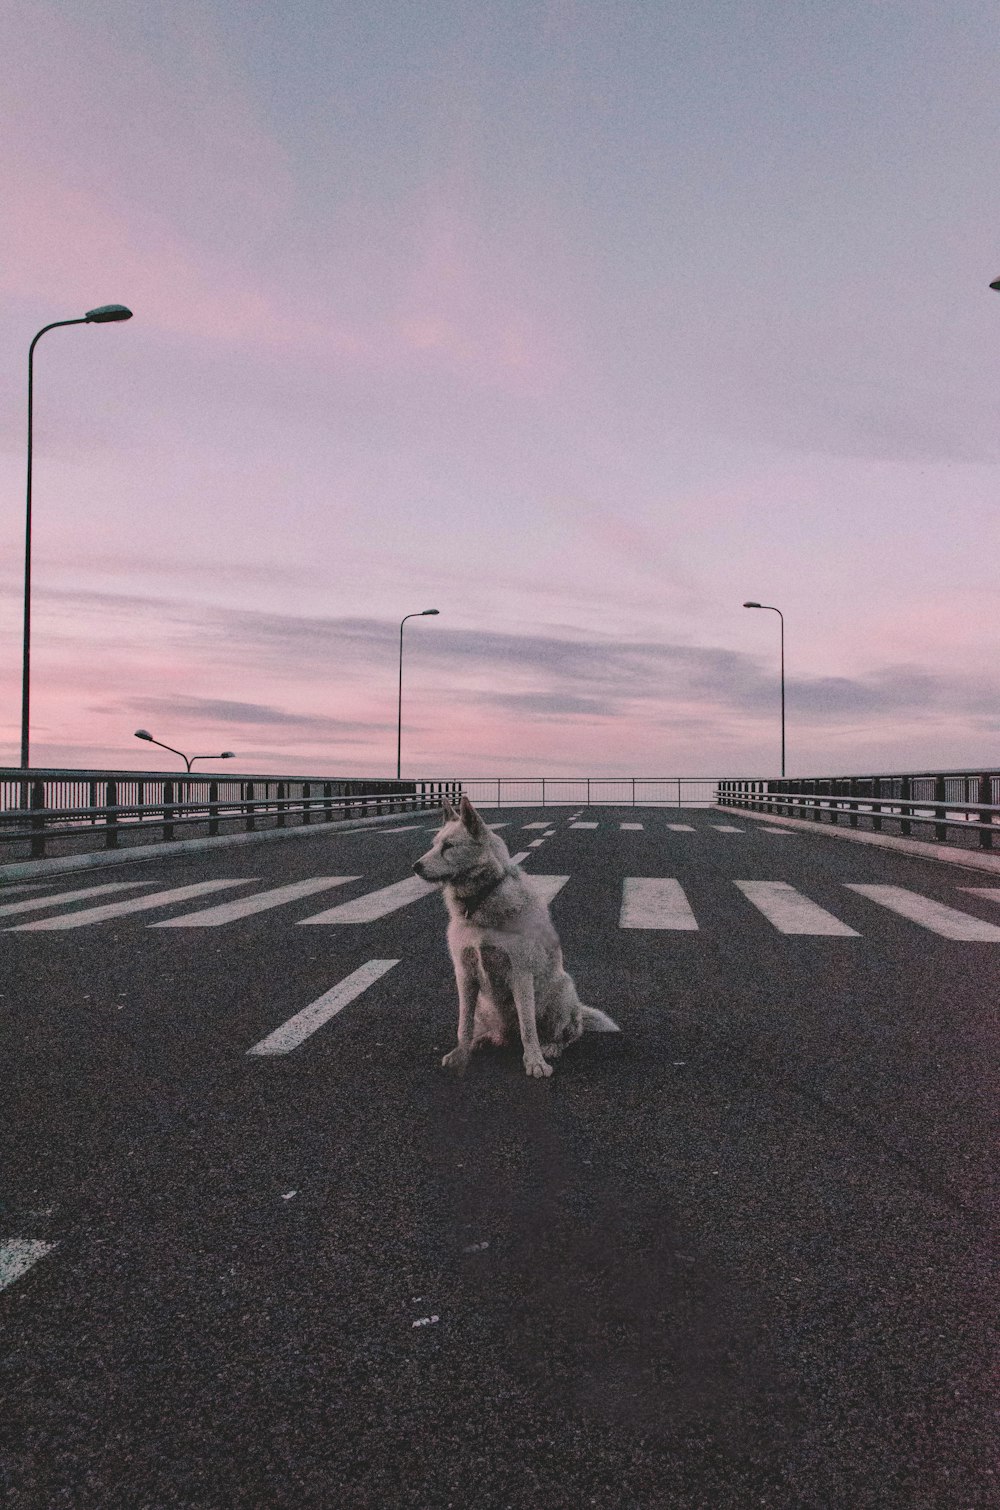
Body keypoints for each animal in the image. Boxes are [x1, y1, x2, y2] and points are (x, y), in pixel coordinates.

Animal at [413, 791, 619, 1075]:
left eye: (449, 846)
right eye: (434, 845)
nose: (415, 866)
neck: (481, 900)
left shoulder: (520, 973)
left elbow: (528, 1028)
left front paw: (534, 1061)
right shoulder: (464, 975)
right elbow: (463, 1024)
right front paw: (461, 1053)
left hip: (561, 991)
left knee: (567, 1033)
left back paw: (551, 1046)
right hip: (485, 1005)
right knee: (496, 1031)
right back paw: (483, 1039)